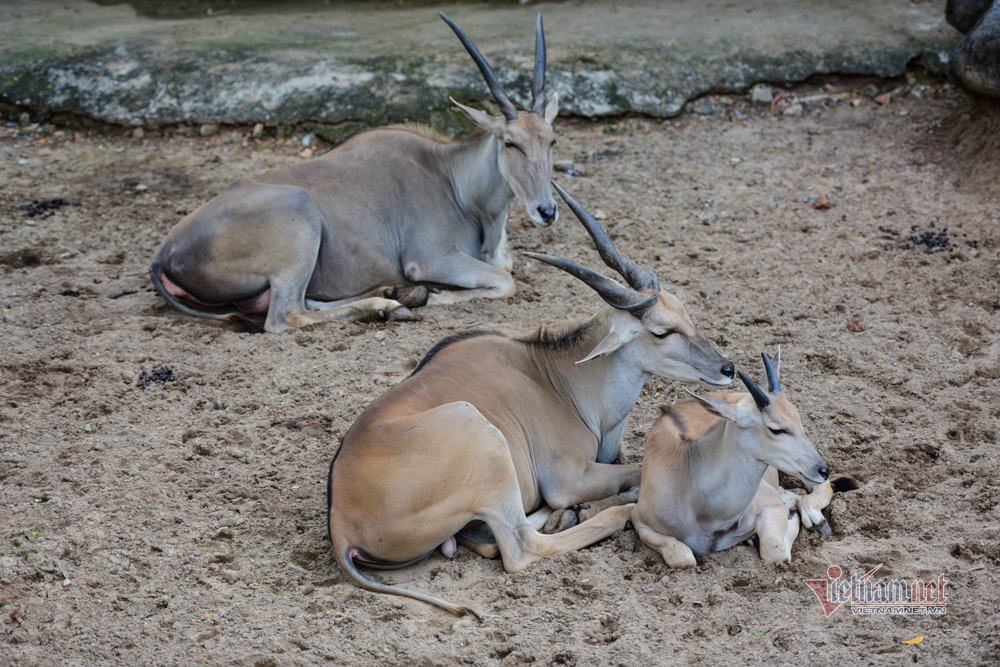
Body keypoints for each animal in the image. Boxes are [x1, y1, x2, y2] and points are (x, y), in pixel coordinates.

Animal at [154, 17, 564, 334]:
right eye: (511, 143)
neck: (453, 179)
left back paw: (390, 295)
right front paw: (437, 296)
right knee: (286, 316)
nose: (547, 211)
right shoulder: (430, 259)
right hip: (299, 228)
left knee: (304, 303)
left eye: (552, 139)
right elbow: (506, 280)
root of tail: (164, 253)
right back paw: (389, 305)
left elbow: (506, 267)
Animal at [328, 181, 736, 616]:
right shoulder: (570, 477)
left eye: (685, 310)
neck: (559, 378)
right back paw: (608, 512)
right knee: (523, 548)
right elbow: (637, 471)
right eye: (662, 331)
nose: (727, 368)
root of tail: (342, 530)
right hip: (480, 433)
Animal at [628, 350, 856, 568]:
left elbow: (776, 552)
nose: (822, 470)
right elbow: (683, 557)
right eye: (776, 429)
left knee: (822, 488)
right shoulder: (639, 520)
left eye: (798, 419)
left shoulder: (771, 505)